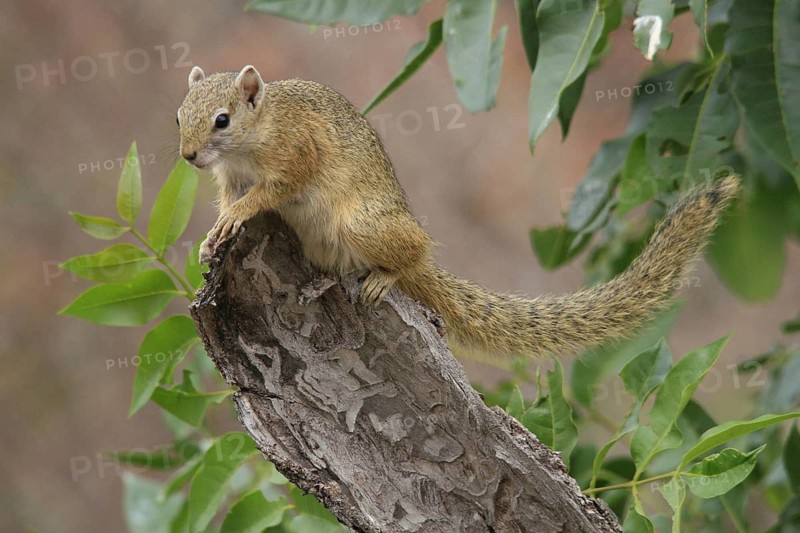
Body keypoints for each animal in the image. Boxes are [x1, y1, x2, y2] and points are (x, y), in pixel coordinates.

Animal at [177, 65, 739, 358]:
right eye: (180, 114)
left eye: (222, 120)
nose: (188, 156)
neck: (256, 137)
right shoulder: (229, 178)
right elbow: (231, 200)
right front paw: (211, 238)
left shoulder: (297, 155)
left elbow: (271, 191)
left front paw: (236, 217)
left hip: (365, 223)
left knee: (413, 253)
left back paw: (388, 276)